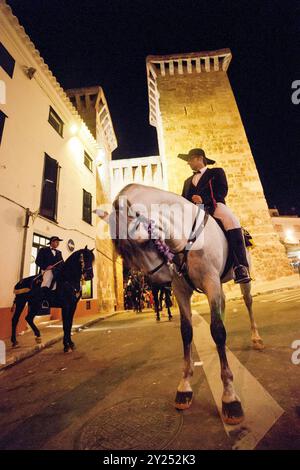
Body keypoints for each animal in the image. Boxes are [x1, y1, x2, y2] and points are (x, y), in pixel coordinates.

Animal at [97, 184, 264, 426]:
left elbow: (217, 330)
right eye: (124, 253)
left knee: (248, 303)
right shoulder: (181, 290)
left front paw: (229, 397)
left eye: (143, 240)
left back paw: (256, 338)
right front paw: (185, 387)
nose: (161, 281)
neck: (185, 242)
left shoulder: (210, 282)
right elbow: (187, 331)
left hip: (242, 279)